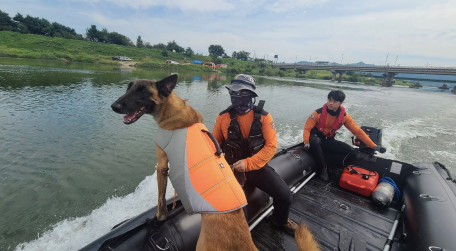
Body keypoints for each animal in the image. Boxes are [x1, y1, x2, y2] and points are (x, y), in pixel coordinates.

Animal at [112, 74, 318, 251]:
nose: (115, 106)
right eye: (129, 87)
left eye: (142, 91)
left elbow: (161, 199)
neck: (175, 112)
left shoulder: (161, 166)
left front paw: (159, 217)